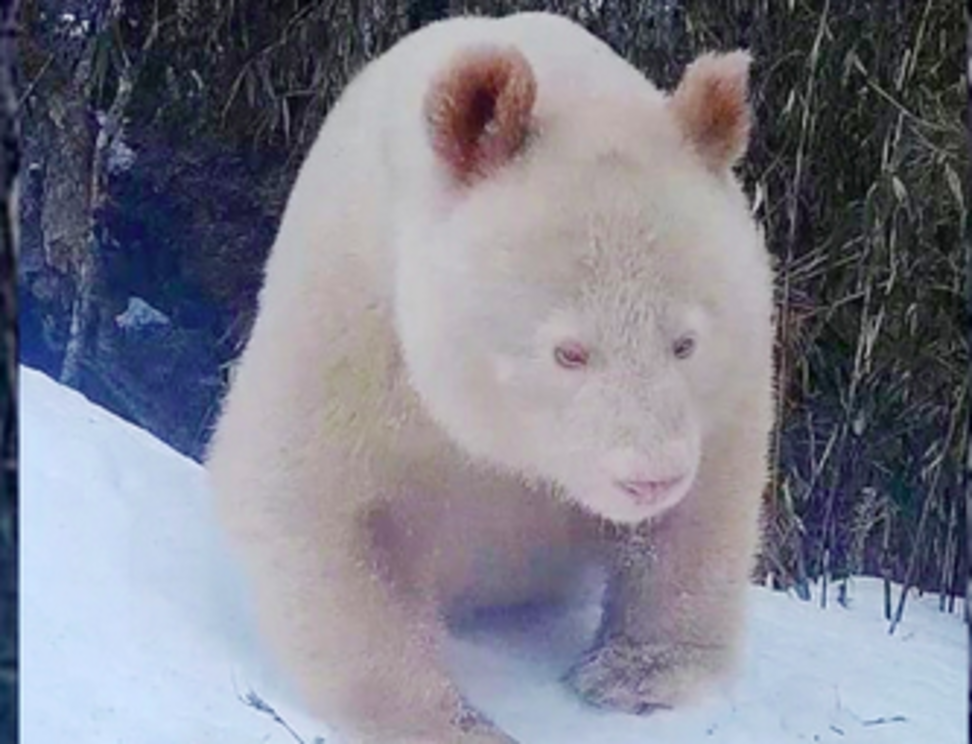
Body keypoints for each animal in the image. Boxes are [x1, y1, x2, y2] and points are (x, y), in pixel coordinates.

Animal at [205, 10, 776, 744]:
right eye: (568, 352)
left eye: (685, 343)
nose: (650, 479)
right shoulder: (353, 321)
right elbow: (313, 504)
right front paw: (450, 722)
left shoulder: (733, 376)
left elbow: (706, 506)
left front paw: (637, 677)